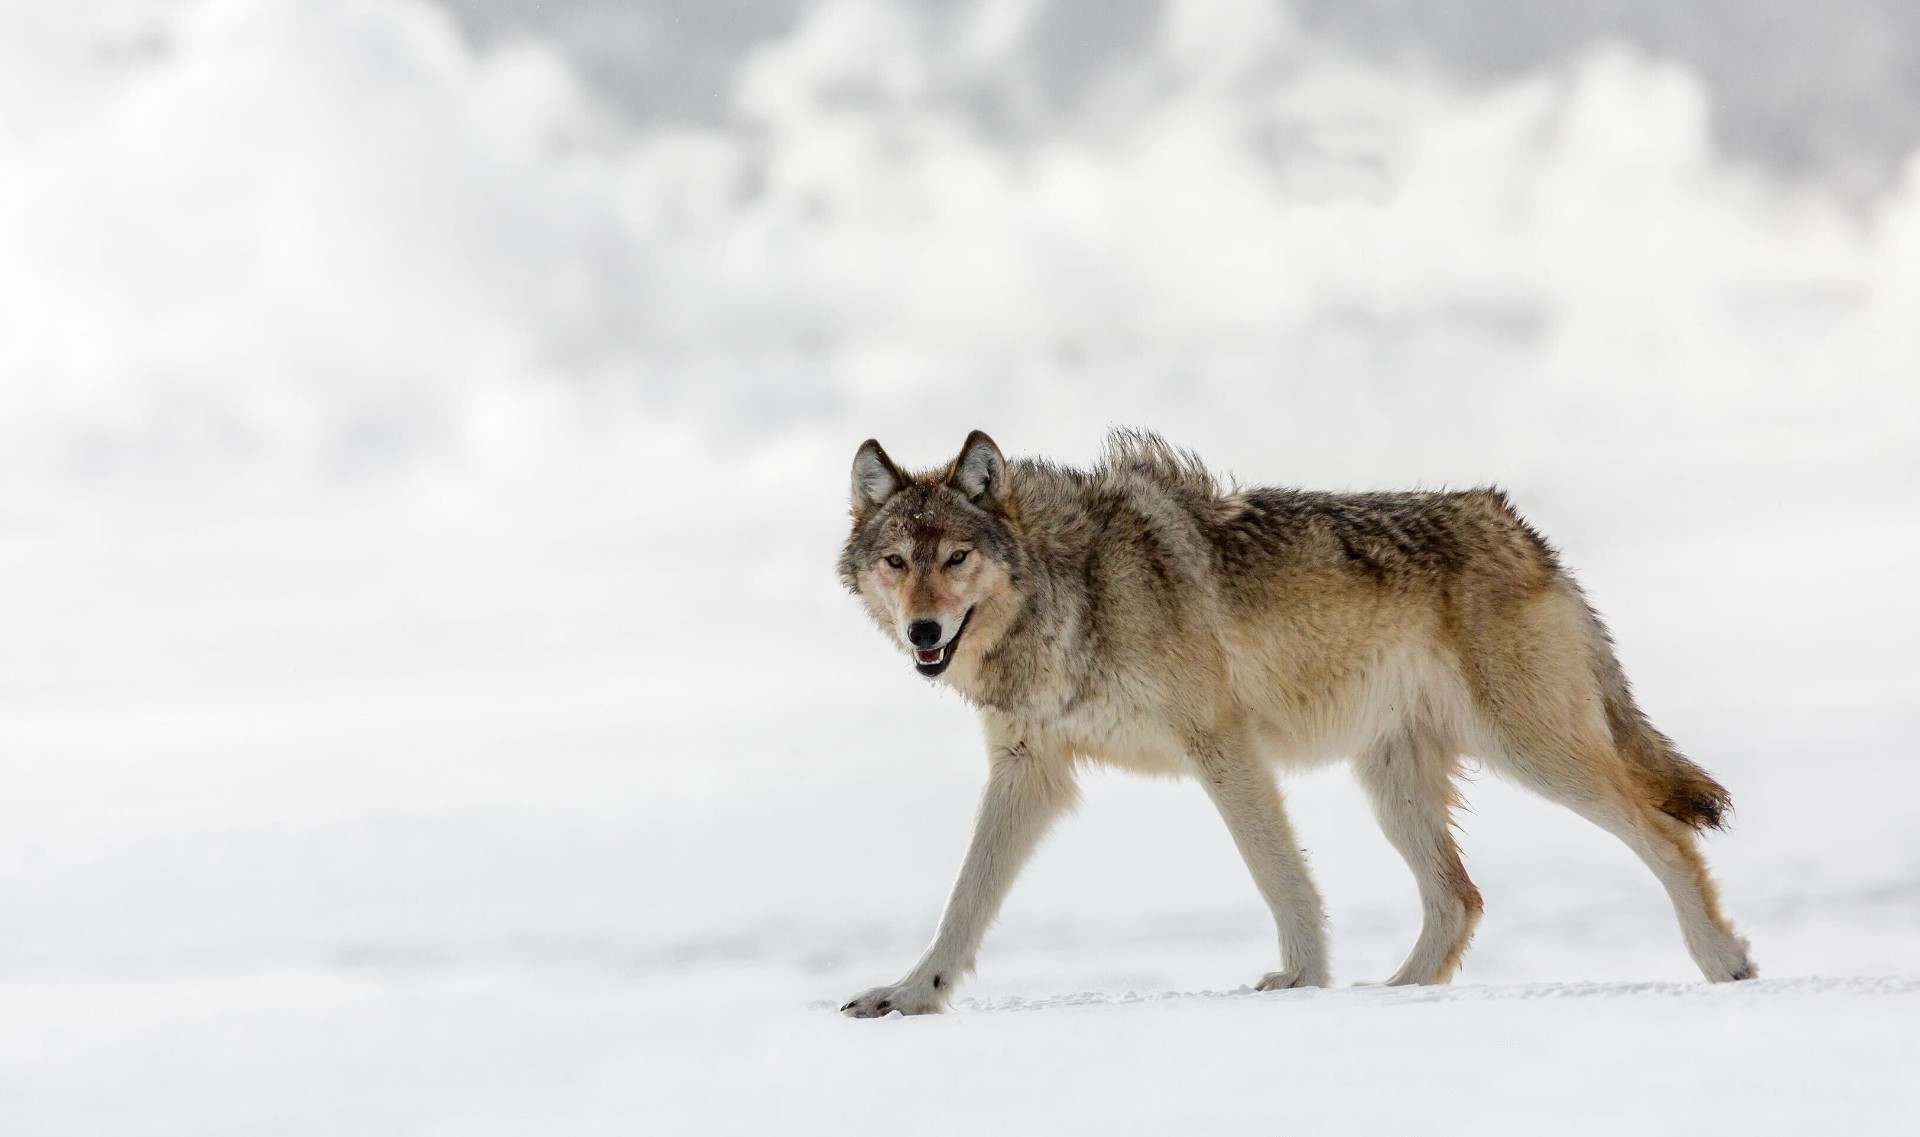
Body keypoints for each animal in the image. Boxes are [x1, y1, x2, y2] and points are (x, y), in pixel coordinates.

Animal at [837, 429, 1753, 1016]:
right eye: (897, 561)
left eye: (957, 558)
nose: (924, 632)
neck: (1071, 594)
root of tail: (1520, 528)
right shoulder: (1029, 770)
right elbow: (963, 900)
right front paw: (909, 994)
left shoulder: (1222, 745)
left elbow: (1281, 876)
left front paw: (1302, 980)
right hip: (1393, 785)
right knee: (1459, 897)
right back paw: (1394, 996)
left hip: (1533, 754)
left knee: (1665, 834)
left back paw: (1725, 961)